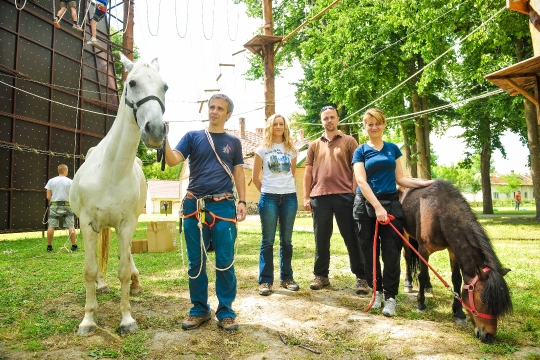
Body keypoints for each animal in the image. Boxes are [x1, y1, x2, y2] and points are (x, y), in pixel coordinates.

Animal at [70, 52, 167, 334]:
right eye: (132, 83)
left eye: (165, 87)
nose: (156, 130)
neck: (111, 172)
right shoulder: (88, 223)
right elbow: (89, 270)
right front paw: (88, 319)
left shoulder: (127, 224)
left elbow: (123, 269)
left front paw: (127, 319)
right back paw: (102, 285)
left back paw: (135, 283)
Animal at [398, 180, 512, 344]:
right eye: (483, 300)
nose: (489, 336)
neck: (439, 213)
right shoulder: (423, 249)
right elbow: (422, 275)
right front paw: (420, 304)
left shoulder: (453, 250)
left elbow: (456, 279)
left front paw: (458, 312)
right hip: (405, 235)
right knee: (407, 257)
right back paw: (408, 283)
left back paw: (428, 286)